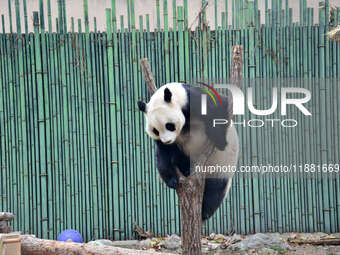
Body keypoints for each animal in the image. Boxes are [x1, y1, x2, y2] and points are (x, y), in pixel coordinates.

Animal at [137, 82, 238, 220]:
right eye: (155, 130)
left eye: (169, 125)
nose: (167, 140)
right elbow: (163, 155)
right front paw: (172, 180)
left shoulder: (195, 100)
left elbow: (220, 110)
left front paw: (219, 140)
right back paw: (185, 168)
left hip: (221, 165)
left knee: (215, 189)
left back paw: (205, 211)